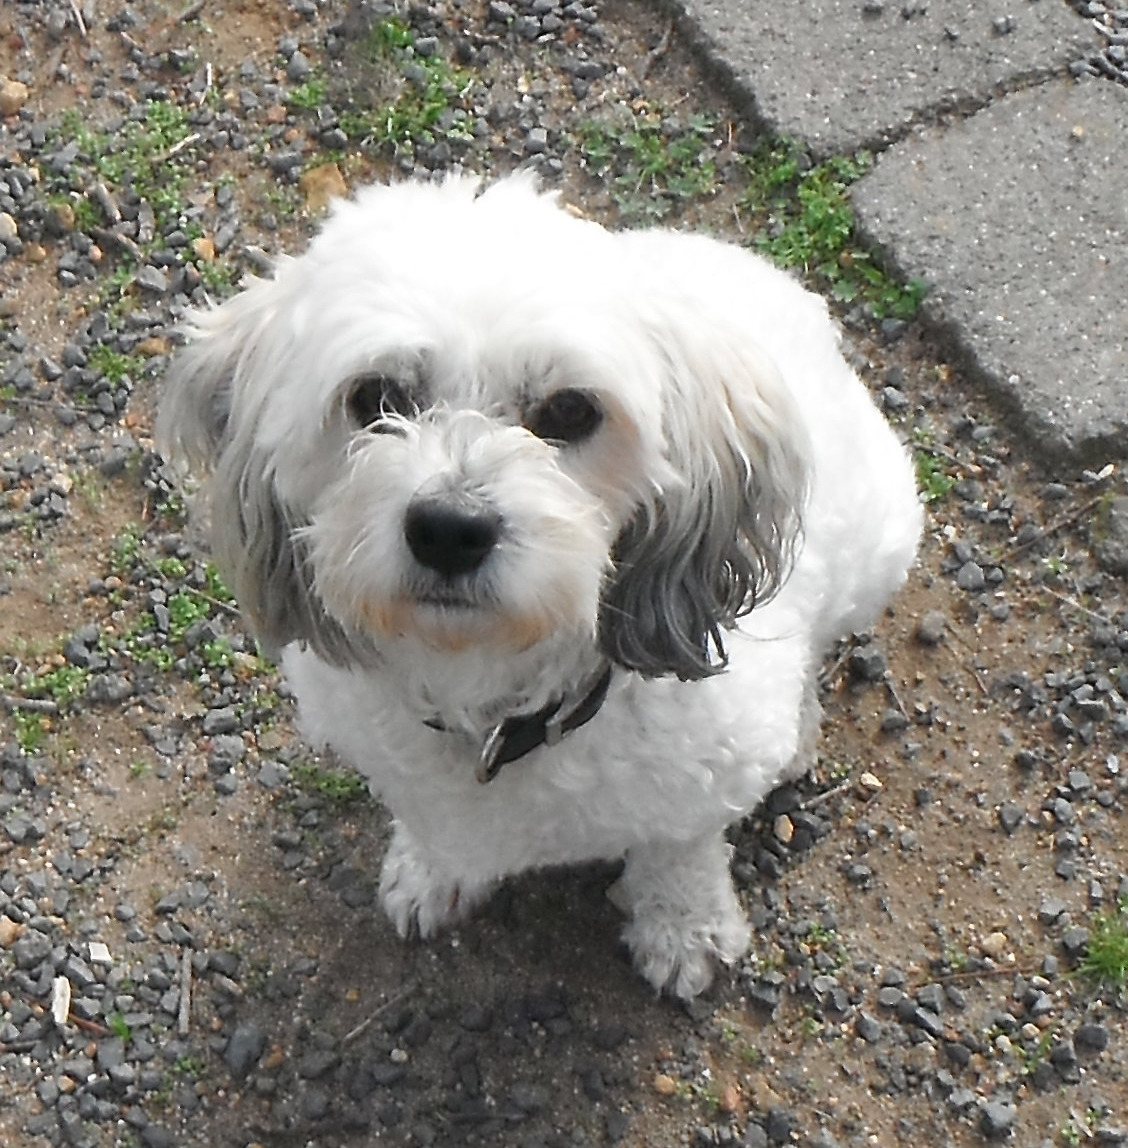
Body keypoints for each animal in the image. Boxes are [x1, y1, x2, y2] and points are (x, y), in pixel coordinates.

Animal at [157, 172, 921, 999]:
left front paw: (682, 927)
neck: (495, 703)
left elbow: (680, 849)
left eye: (570, 410)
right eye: (376, 398)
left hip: (882, 538)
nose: (450, 529)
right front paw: (432, 870)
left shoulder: (702, 784)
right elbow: (427, 821)